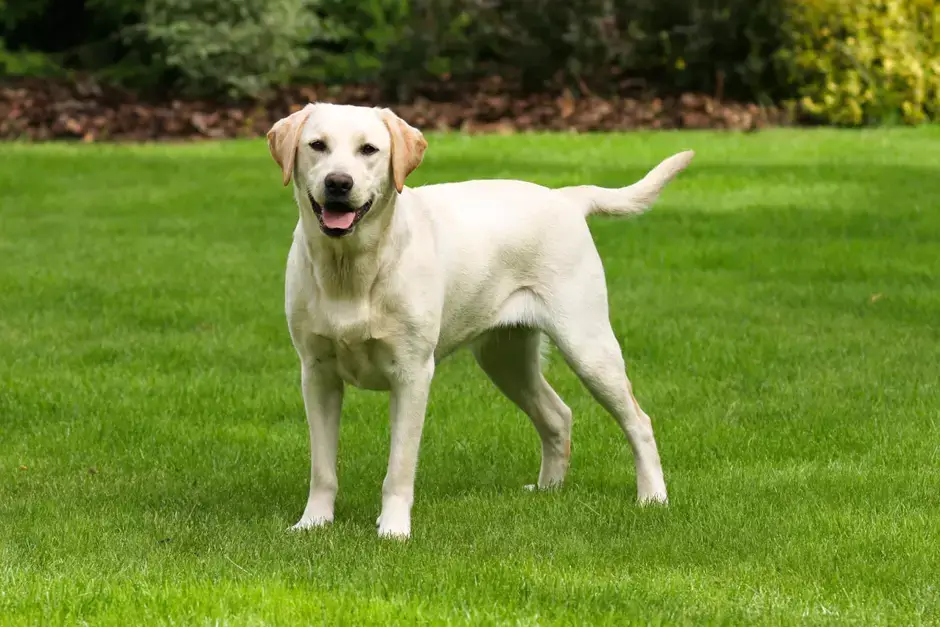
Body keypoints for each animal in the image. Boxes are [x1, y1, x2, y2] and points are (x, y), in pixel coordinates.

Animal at [264, 103, 692, 540]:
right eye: (317, 145)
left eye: (368, 149)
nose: (338, 183)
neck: (351, 268)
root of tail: (565, 197)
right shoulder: (317, 373)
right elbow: (322, 467)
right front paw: (313, 522)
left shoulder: (412, 374)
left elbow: (399, 467)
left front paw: (394, 529)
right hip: (505, 359)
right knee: (558, 415)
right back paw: (548, 490)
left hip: (587, 346)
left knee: (639, 421)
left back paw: (653, 497)